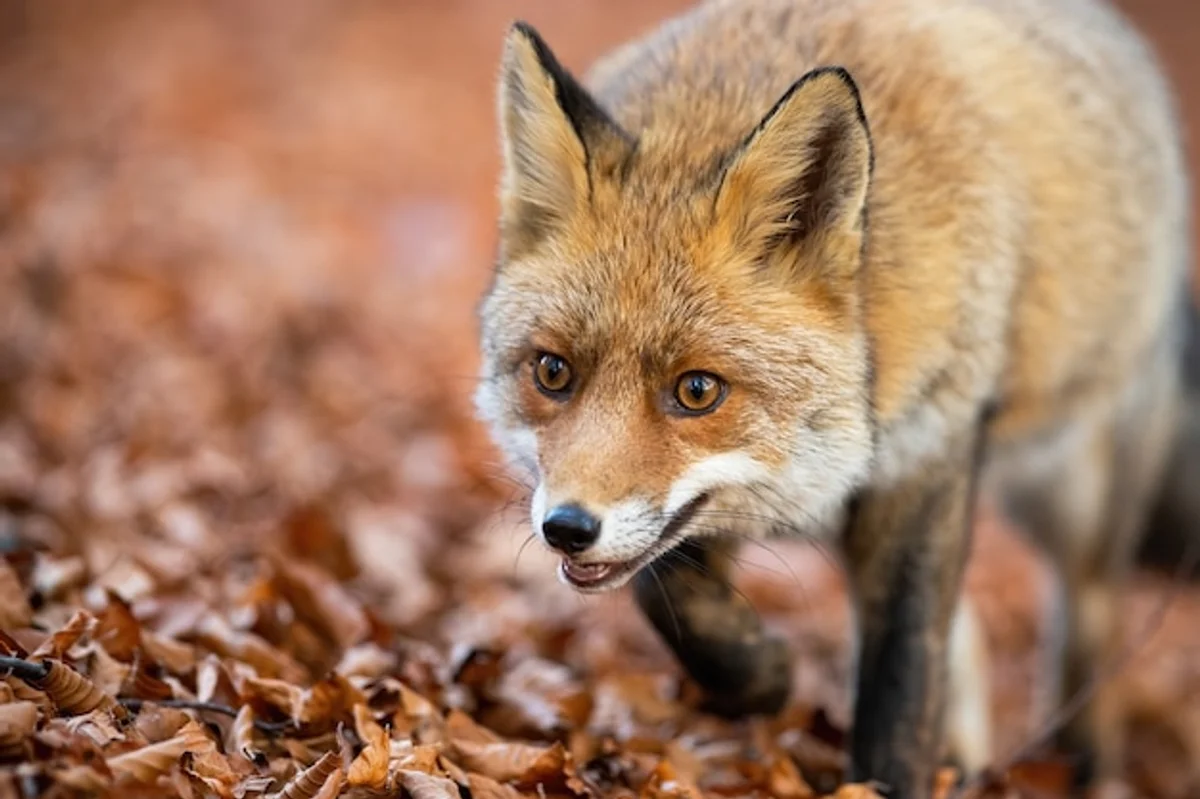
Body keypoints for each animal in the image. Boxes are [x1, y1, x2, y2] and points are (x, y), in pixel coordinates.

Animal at [473, 0, 1196, 796]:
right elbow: (671, 599)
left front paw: (886, 775)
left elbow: (901, 682)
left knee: (1085, 630)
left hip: (1073, 498)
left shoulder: (927, 461)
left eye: (697, 390)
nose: (567, 528)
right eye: (553, 373)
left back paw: (1082, 766)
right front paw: (762, 676)